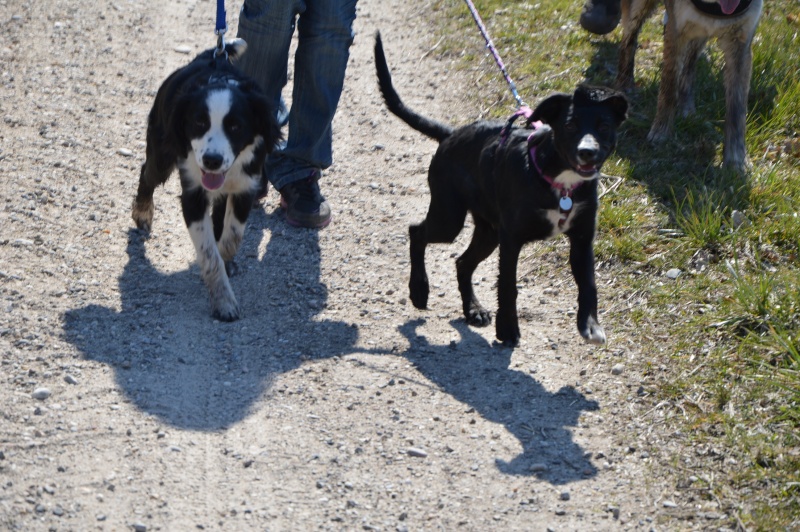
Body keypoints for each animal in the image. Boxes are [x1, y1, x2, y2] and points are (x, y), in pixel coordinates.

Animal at [132, 39, 282, 322]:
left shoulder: (246, 187)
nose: (212, 160)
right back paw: (143, 213)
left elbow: (231, 237)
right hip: (163, 152)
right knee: (147, 172)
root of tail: (209, 55)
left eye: (235, 126)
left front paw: (226, 263)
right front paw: (223, 302)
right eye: (199, 122)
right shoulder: (192, 193)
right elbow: (209, 253)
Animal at [372, 34, 628, 350]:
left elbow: (588, 284)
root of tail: (451, 134)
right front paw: (507, 329)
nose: (587, 153)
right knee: (416, 232)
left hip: (488, 231)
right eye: (569, 125)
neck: (559, 180)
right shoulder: (511, 238)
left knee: (462, 263)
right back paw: (419, 289)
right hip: (449, 217)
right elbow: (507, 285)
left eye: (604, 126)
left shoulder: (582, 238)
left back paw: (473, 309)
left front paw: (590, 325)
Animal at [620, 0, 764, 170]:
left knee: (688, 66)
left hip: (699, 34)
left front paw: (736, 160)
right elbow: (668, 88)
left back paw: (686, 107)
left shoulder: (740, 46)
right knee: (628, 39)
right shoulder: (675, 32)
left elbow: (737, 111)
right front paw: (661, 133)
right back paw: (623, 85)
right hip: (639, 9)